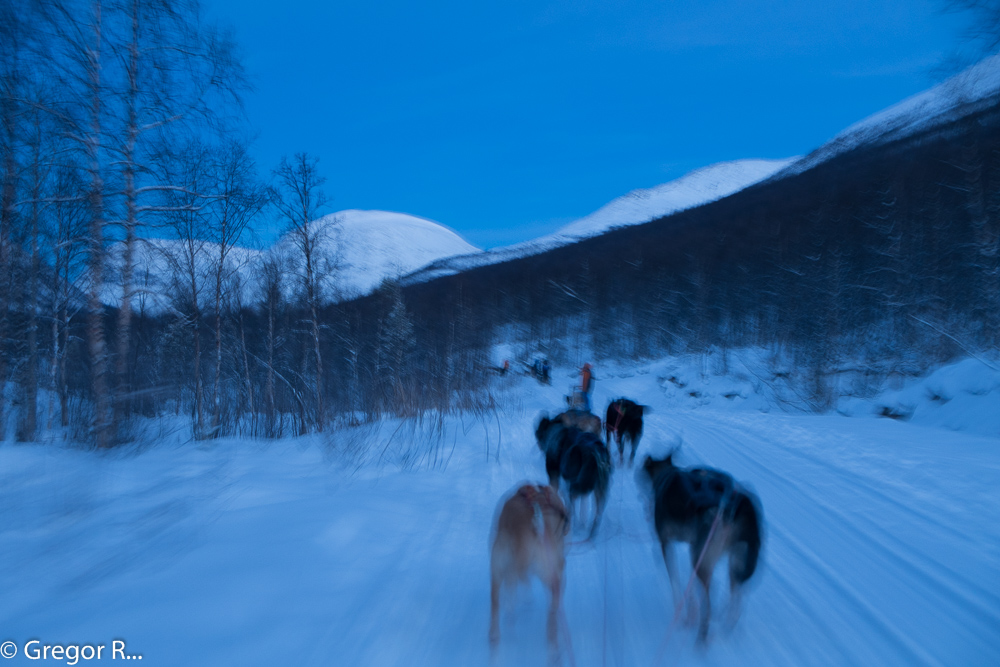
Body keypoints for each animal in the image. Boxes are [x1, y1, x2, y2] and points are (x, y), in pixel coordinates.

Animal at [644, 454, 760, 640]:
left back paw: (702, 635)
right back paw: (726, 621)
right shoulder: (693, 548)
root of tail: (737, 506)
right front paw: (690, 612)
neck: (667, 475)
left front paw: (683, 613)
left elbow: (675, 583)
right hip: (734, 560)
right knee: (737, 593)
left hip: (703, 559)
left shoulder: (667, 544)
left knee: (710, 601)